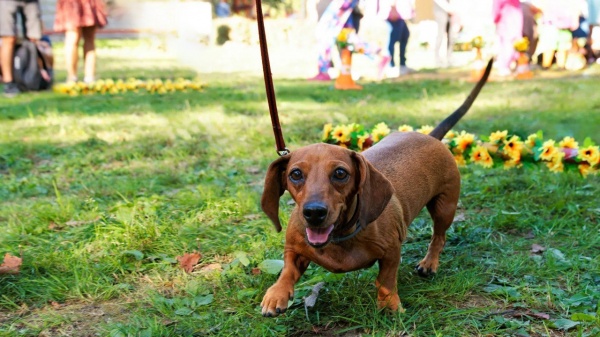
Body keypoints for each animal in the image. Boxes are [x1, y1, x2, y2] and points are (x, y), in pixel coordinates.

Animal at [262, 59, 492, 316]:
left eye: (340, 173)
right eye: (295, 174)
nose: (314, 213)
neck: (340, 237)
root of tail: (431, 136)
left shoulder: (391, 252)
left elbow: (386, 280)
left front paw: (390, 305)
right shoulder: (294, 249)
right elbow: (287, 271)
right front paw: (277, 293)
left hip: (445, 207)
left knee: (439, 237)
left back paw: (429, 264)